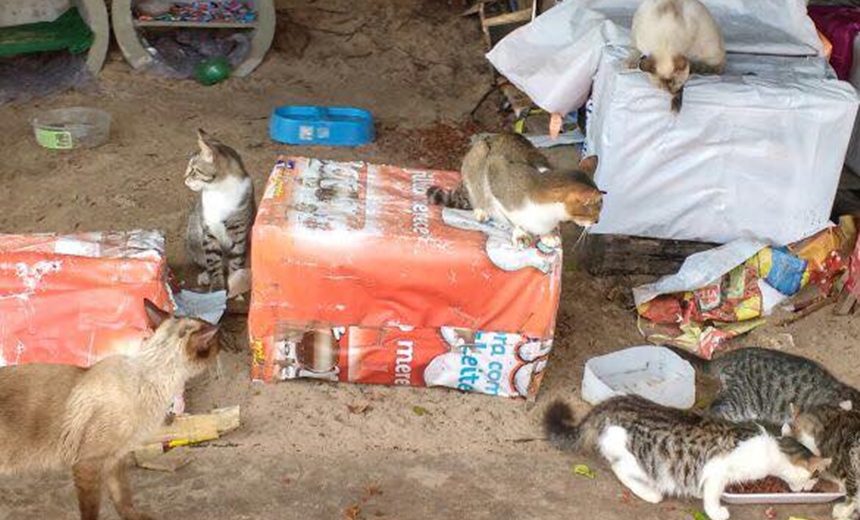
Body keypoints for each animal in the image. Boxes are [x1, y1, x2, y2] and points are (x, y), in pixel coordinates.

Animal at [185, 129, 255, 292]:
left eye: (193, 171)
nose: (184, 179)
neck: (218, 192)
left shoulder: (239, 231)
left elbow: (236, 261)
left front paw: (235, 285)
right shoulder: (208, 231)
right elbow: (213, 262)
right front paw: (217, 288)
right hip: (193, 235)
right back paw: (205, 276)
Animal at [548, 396, 828, 516]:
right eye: (815, 475)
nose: (812, 486)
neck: (774, 448)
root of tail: (609, 405)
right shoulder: (717, 472)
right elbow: (712, 496)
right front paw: (717, 512)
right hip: (641, 458)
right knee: (620, 469)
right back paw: (650, 493)